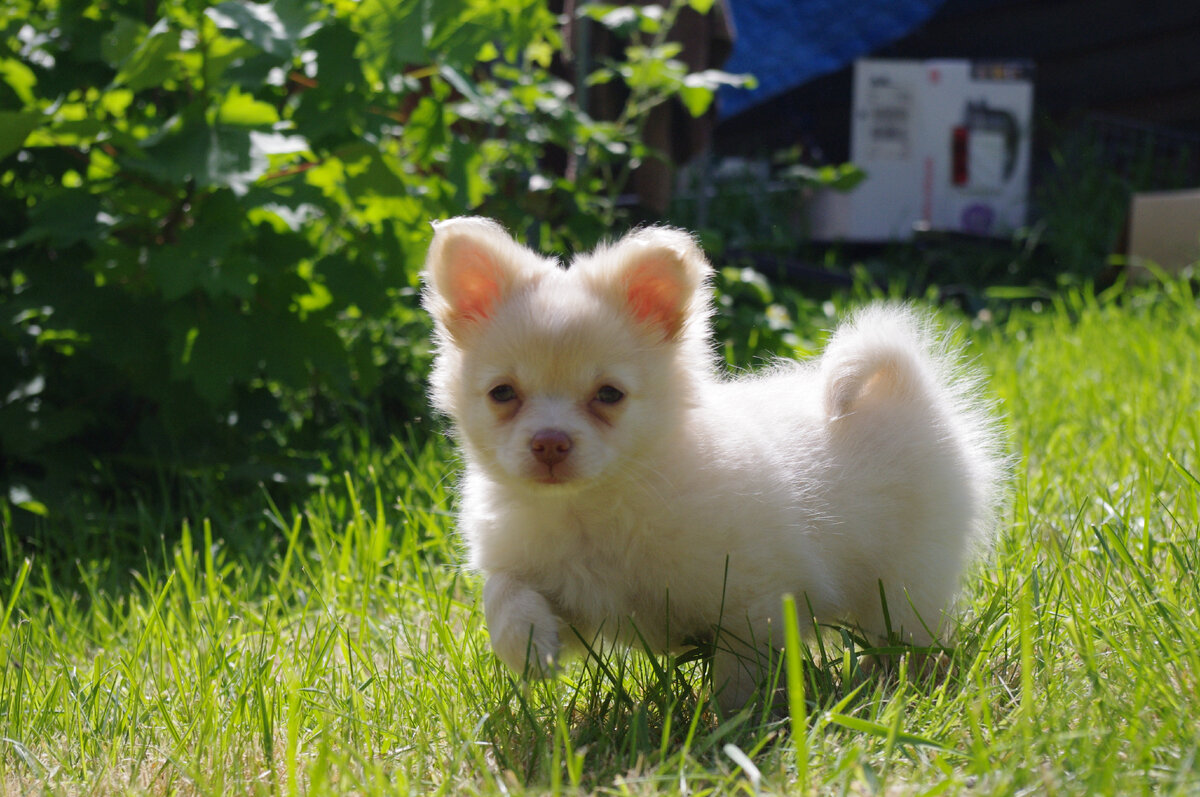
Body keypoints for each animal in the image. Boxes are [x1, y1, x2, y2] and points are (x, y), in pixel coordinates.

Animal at [422, 214, 1003, 705]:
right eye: (502, 393)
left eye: (609, 395)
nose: (549, 443)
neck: (592, 509)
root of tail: (909, 390)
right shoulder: (563, 594)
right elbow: (503, 591)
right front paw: (524, 642)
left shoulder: (751, 599)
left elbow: (738, 672)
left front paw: (733, 725)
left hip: (910, 579)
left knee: (907, 632)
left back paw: (901, 680)